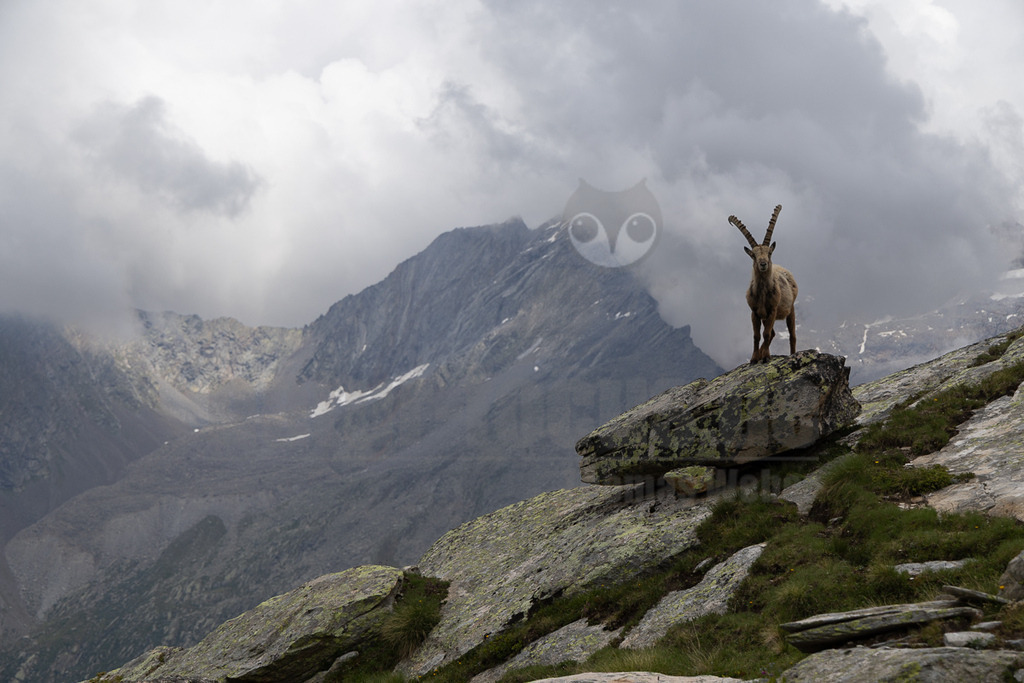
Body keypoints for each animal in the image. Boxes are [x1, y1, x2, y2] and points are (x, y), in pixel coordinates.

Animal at [729, 204, 798, 363]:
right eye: (753, 255)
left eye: (769, 253)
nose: (763, 264)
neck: (761, 294)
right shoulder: (754, 313)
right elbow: (756, 335)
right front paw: (755, 358)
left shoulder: (772, 310)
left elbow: (765, 334)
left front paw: (766, 357)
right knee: (772, 333)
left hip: (790, 309)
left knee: (791, 335)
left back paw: (792, 354)